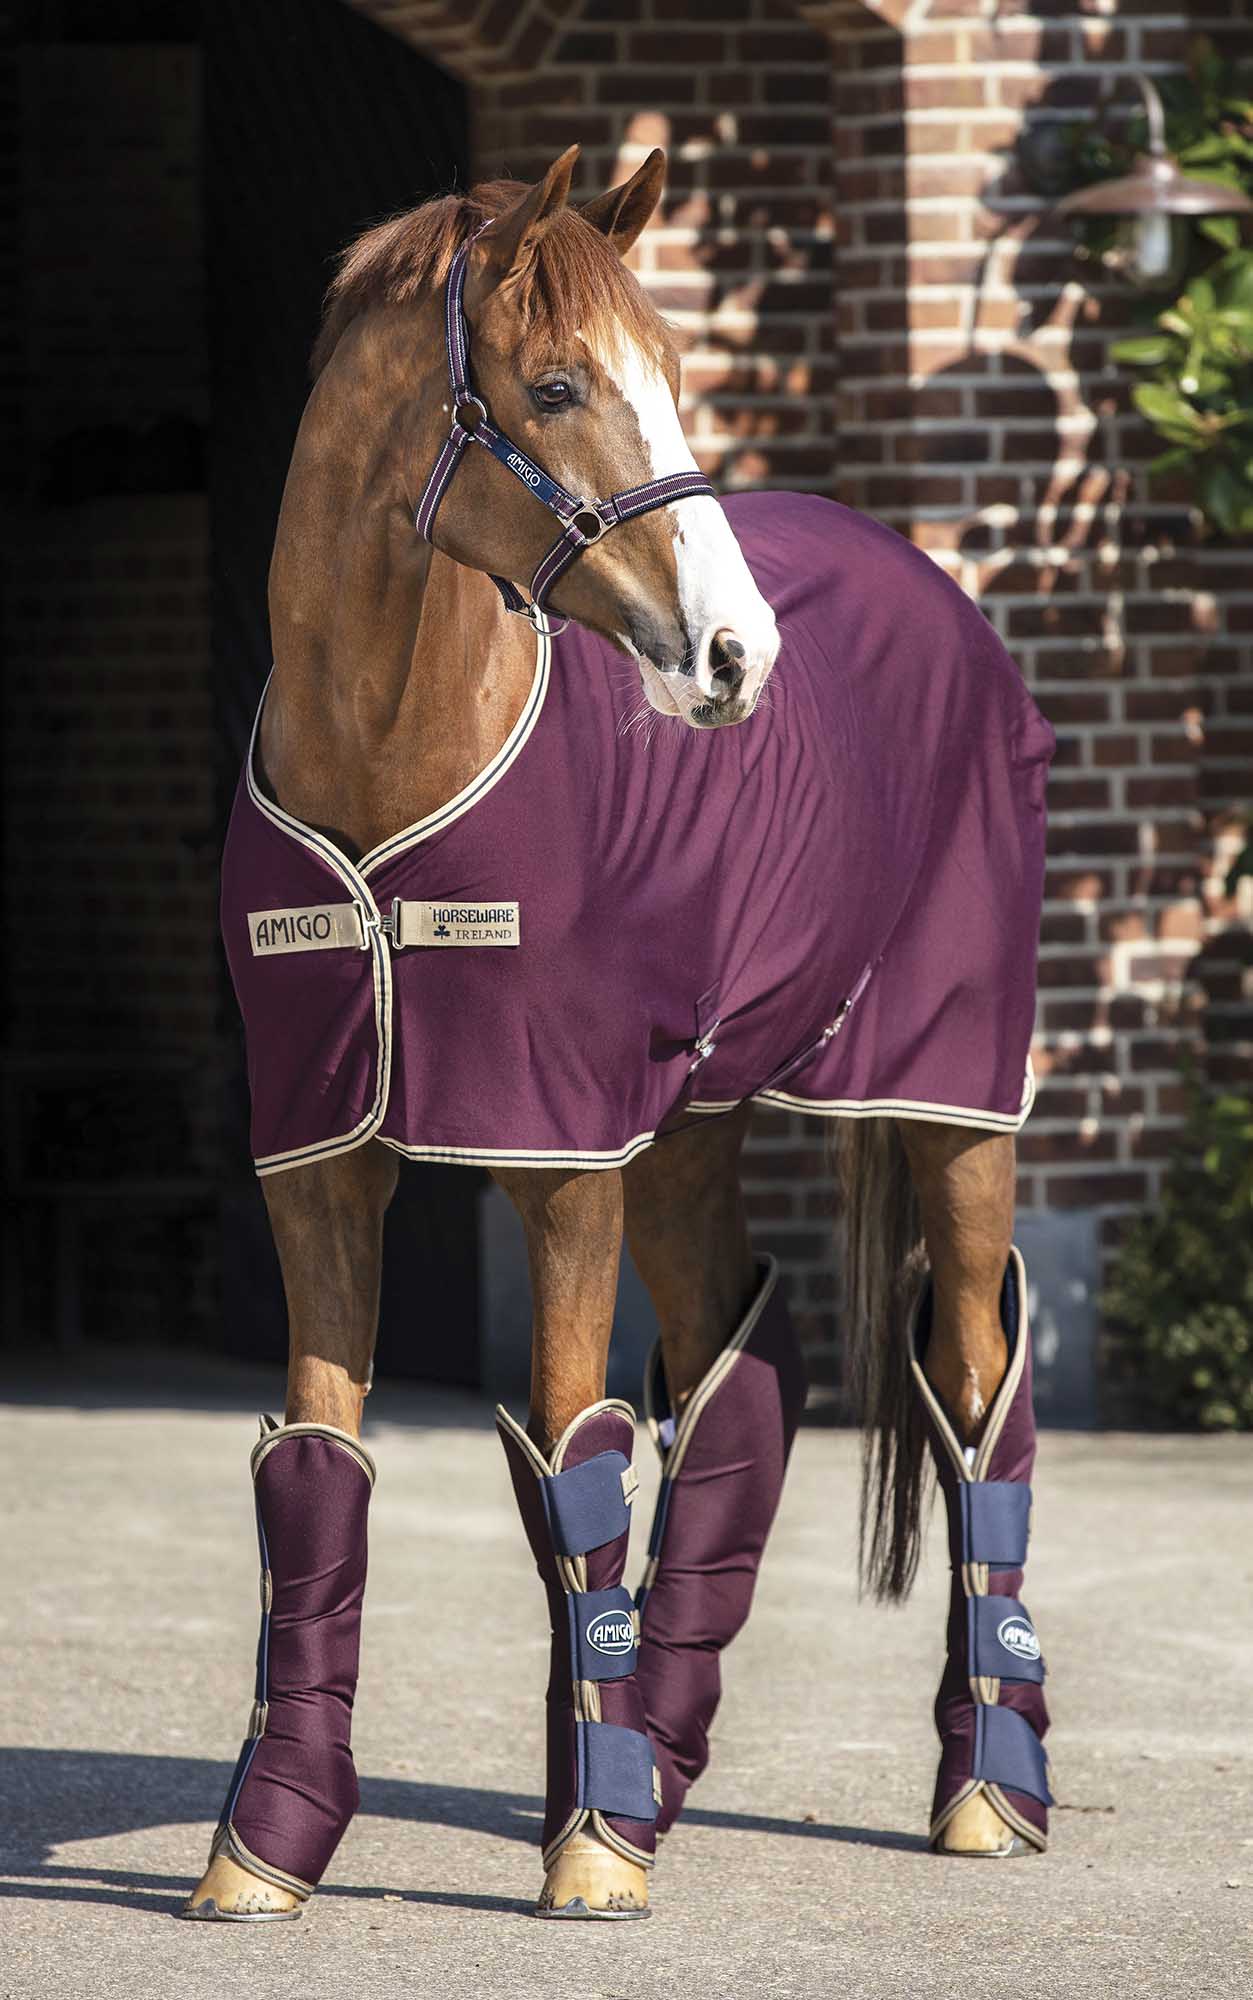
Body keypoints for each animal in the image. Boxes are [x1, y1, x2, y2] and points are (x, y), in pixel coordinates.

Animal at [185, 144, 1055, 1925]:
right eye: (558, 386)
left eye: (670, 375)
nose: (737, 656)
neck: (389, 758)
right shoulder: (320, 1164)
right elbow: (316, 1468)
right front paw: (269, 1845)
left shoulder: (558, 1158)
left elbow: (575, 1460)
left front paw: (584, 1851)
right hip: (694, 1123)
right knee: (740, 1379)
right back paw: (657, 1760)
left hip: (949, 1106)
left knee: (974, 1384)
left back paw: (985, 1791)